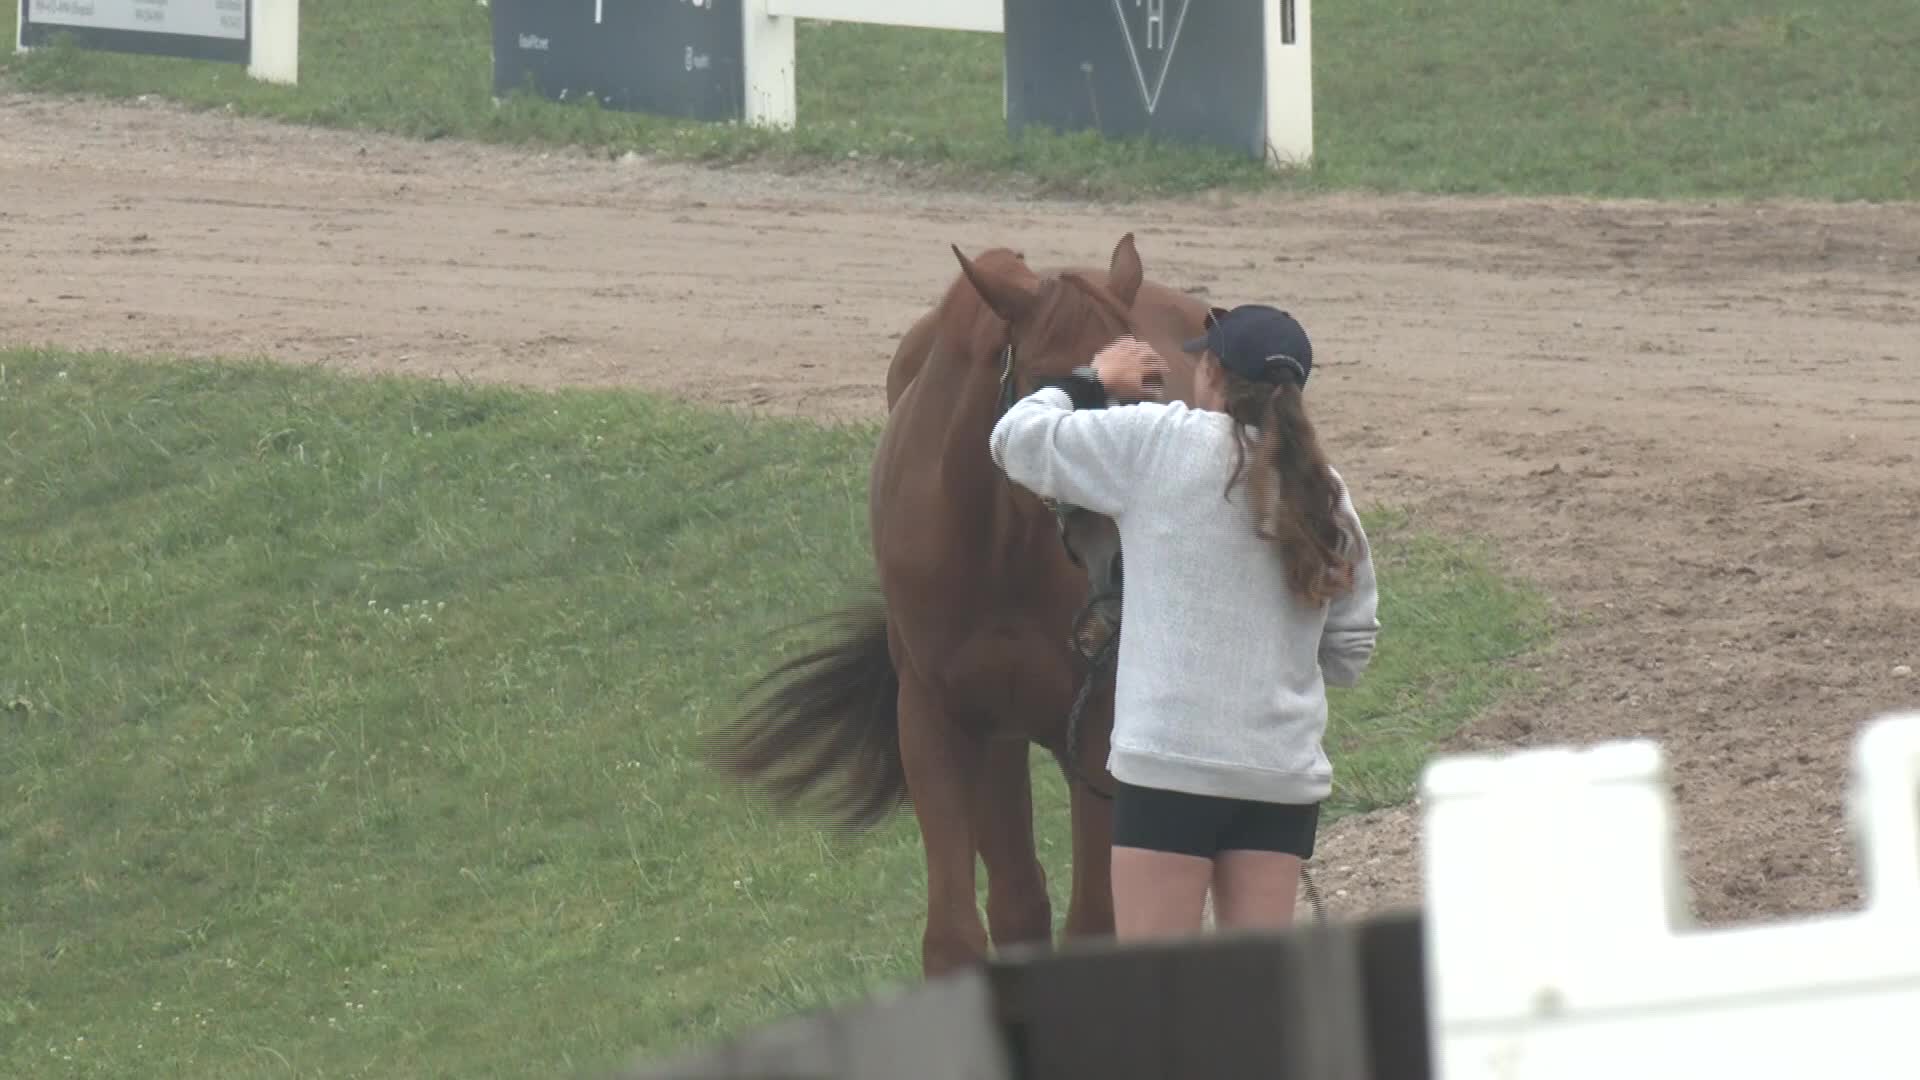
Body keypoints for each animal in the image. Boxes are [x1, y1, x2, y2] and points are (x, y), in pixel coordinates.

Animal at [706, 233, 1213, 977]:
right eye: (1054, 385)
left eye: (1154, 390)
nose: (1127, 558)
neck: (997, 549)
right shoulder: (938, 717)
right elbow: (957, 934)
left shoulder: (1099, 722)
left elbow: (1097, 920)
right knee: (1019, 900)